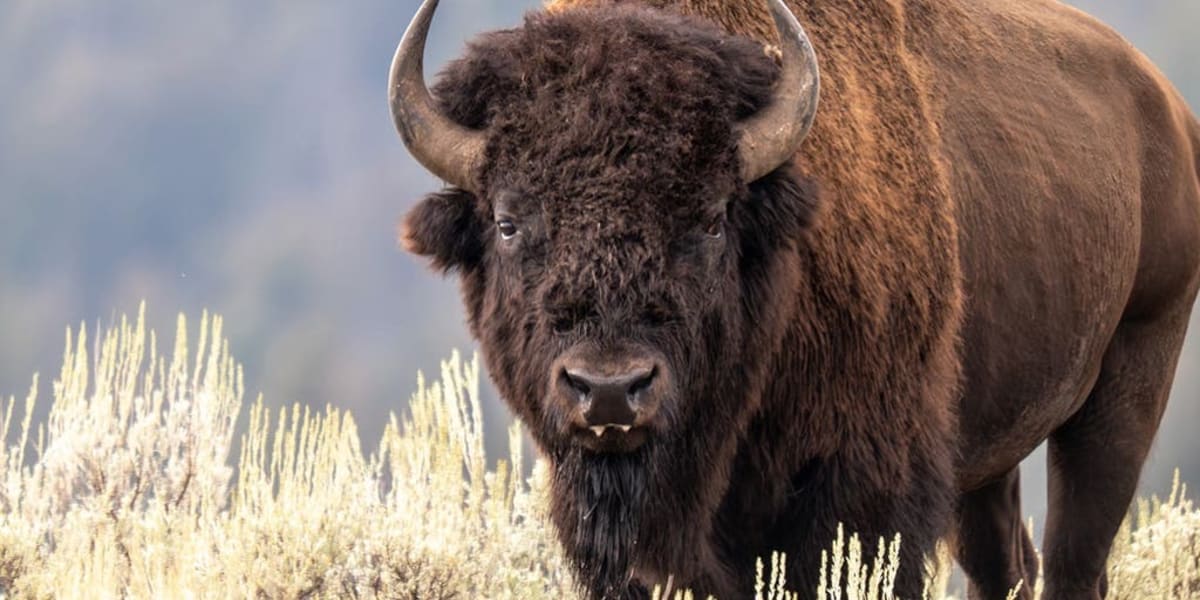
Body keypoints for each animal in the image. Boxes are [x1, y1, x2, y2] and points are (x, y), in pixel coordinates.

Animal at [390, 0, 1200, 598]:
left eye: (713, 218)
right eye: (507, 221)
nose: (611, 390)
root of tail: (1166, 107)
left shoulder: (865, 492)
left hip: (1129, 379)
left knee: (1074, 559)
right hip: (990, 451)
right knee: (1005, 563)